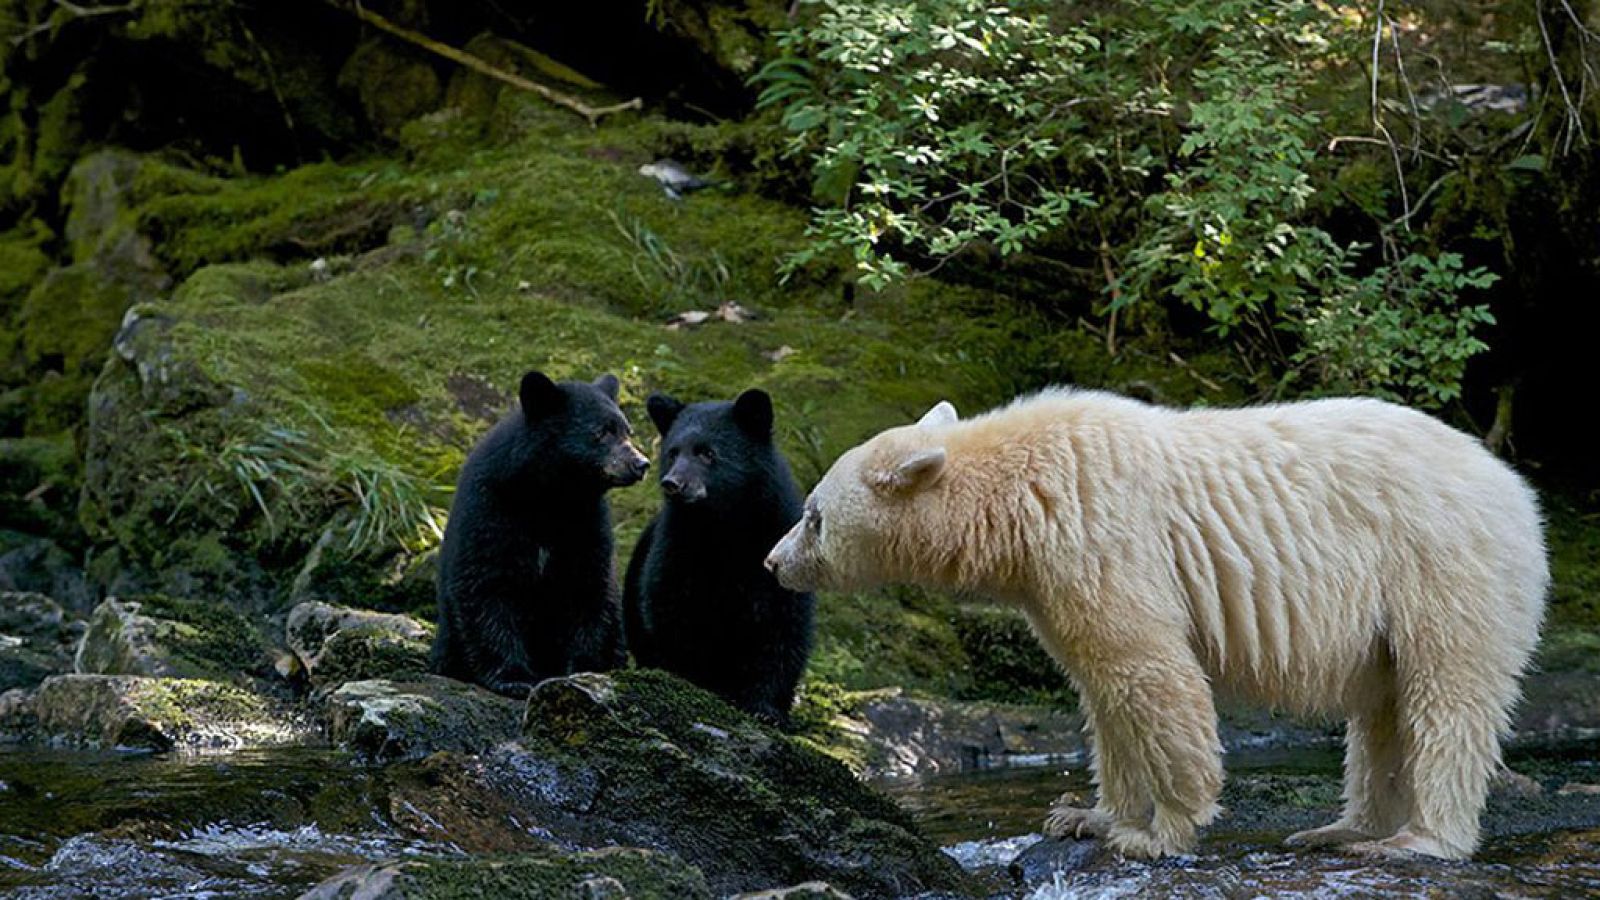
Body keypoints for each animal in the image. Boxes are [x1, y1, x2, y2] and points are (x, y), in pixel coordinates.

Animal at [430, 371, 650, 697]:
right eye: (601, 433)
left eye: (628, 431)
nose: (641, 464)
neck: (548, 498)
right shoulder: (490, 511)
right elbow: (486, 587)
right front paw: (515, 677)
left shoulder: (587, 523)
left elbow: (589, 588)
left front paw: (581, 670)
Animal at [623, 388, 815, 725]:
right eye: (673, 452)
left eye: (707, 453)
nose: (672, 483)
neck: (722, 527)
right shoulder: (678, 544)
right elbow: (670, 607)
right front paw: (689, 683)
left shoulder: (776, 544)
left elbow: (783, 626)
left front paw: (766, 709)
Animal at [764, 390, 1548, 861]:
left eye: (813, 514)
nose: (772, 562)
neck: (1020, 491)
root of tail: (1514, 486)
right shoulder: (1052, 581)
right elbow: (1102, 689)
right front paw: (1088, 816)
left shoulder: (1098, 538)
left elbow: (1151, 671)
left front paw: (1161, 833)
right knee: (1381, 708)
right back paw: (1339, 826)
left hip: (1441, 563)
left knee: (1446, 696)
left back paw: (1415, 840)